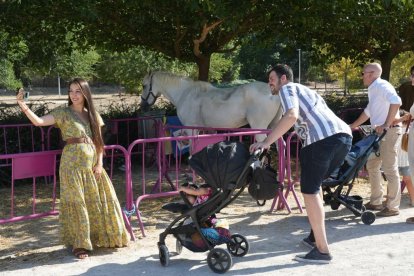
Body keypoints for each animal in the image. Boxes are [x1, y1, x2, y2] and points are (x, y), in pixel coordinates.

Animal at [139, 71, 282, 141]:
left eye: (144, 85)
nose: (143, 106)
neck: (185, 93)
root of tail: (274, 93)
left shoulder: (191, 129)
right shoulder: (207, 130)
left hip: (260, 128)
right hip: (273, 126)